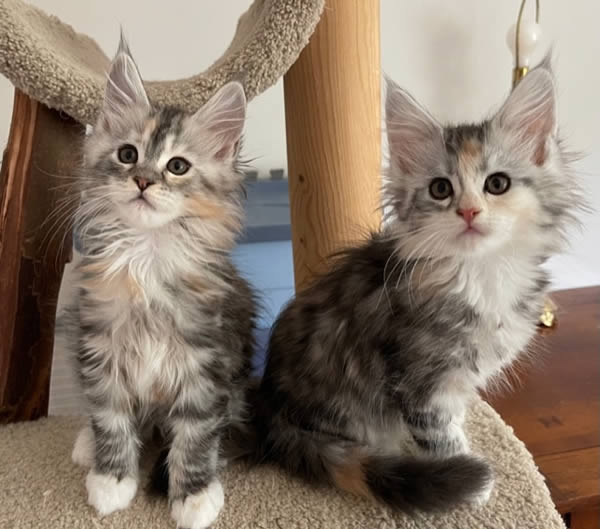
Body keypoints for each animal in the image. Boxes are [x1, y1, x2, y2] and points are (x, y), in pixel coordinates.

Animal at [66, 35, 258, 524]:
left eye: (177, 166)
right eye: (127, 154)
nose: (142, 181)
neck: (146, 259)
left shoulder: (205, 362)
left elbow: (196, 434)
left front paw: (194, 495)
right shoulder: (102, 350)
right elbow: (110, 417)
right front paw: (111, 479)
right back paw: (87, 444)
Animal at [245, 63, 580, 512]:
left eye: (497, 184)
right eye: (441, 189)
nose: (468, 212)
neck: (481, 274)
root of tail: (273, 410)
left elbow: (455, 418)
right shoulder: (419, 380)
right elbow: (441, 435)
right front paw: (472, 484)